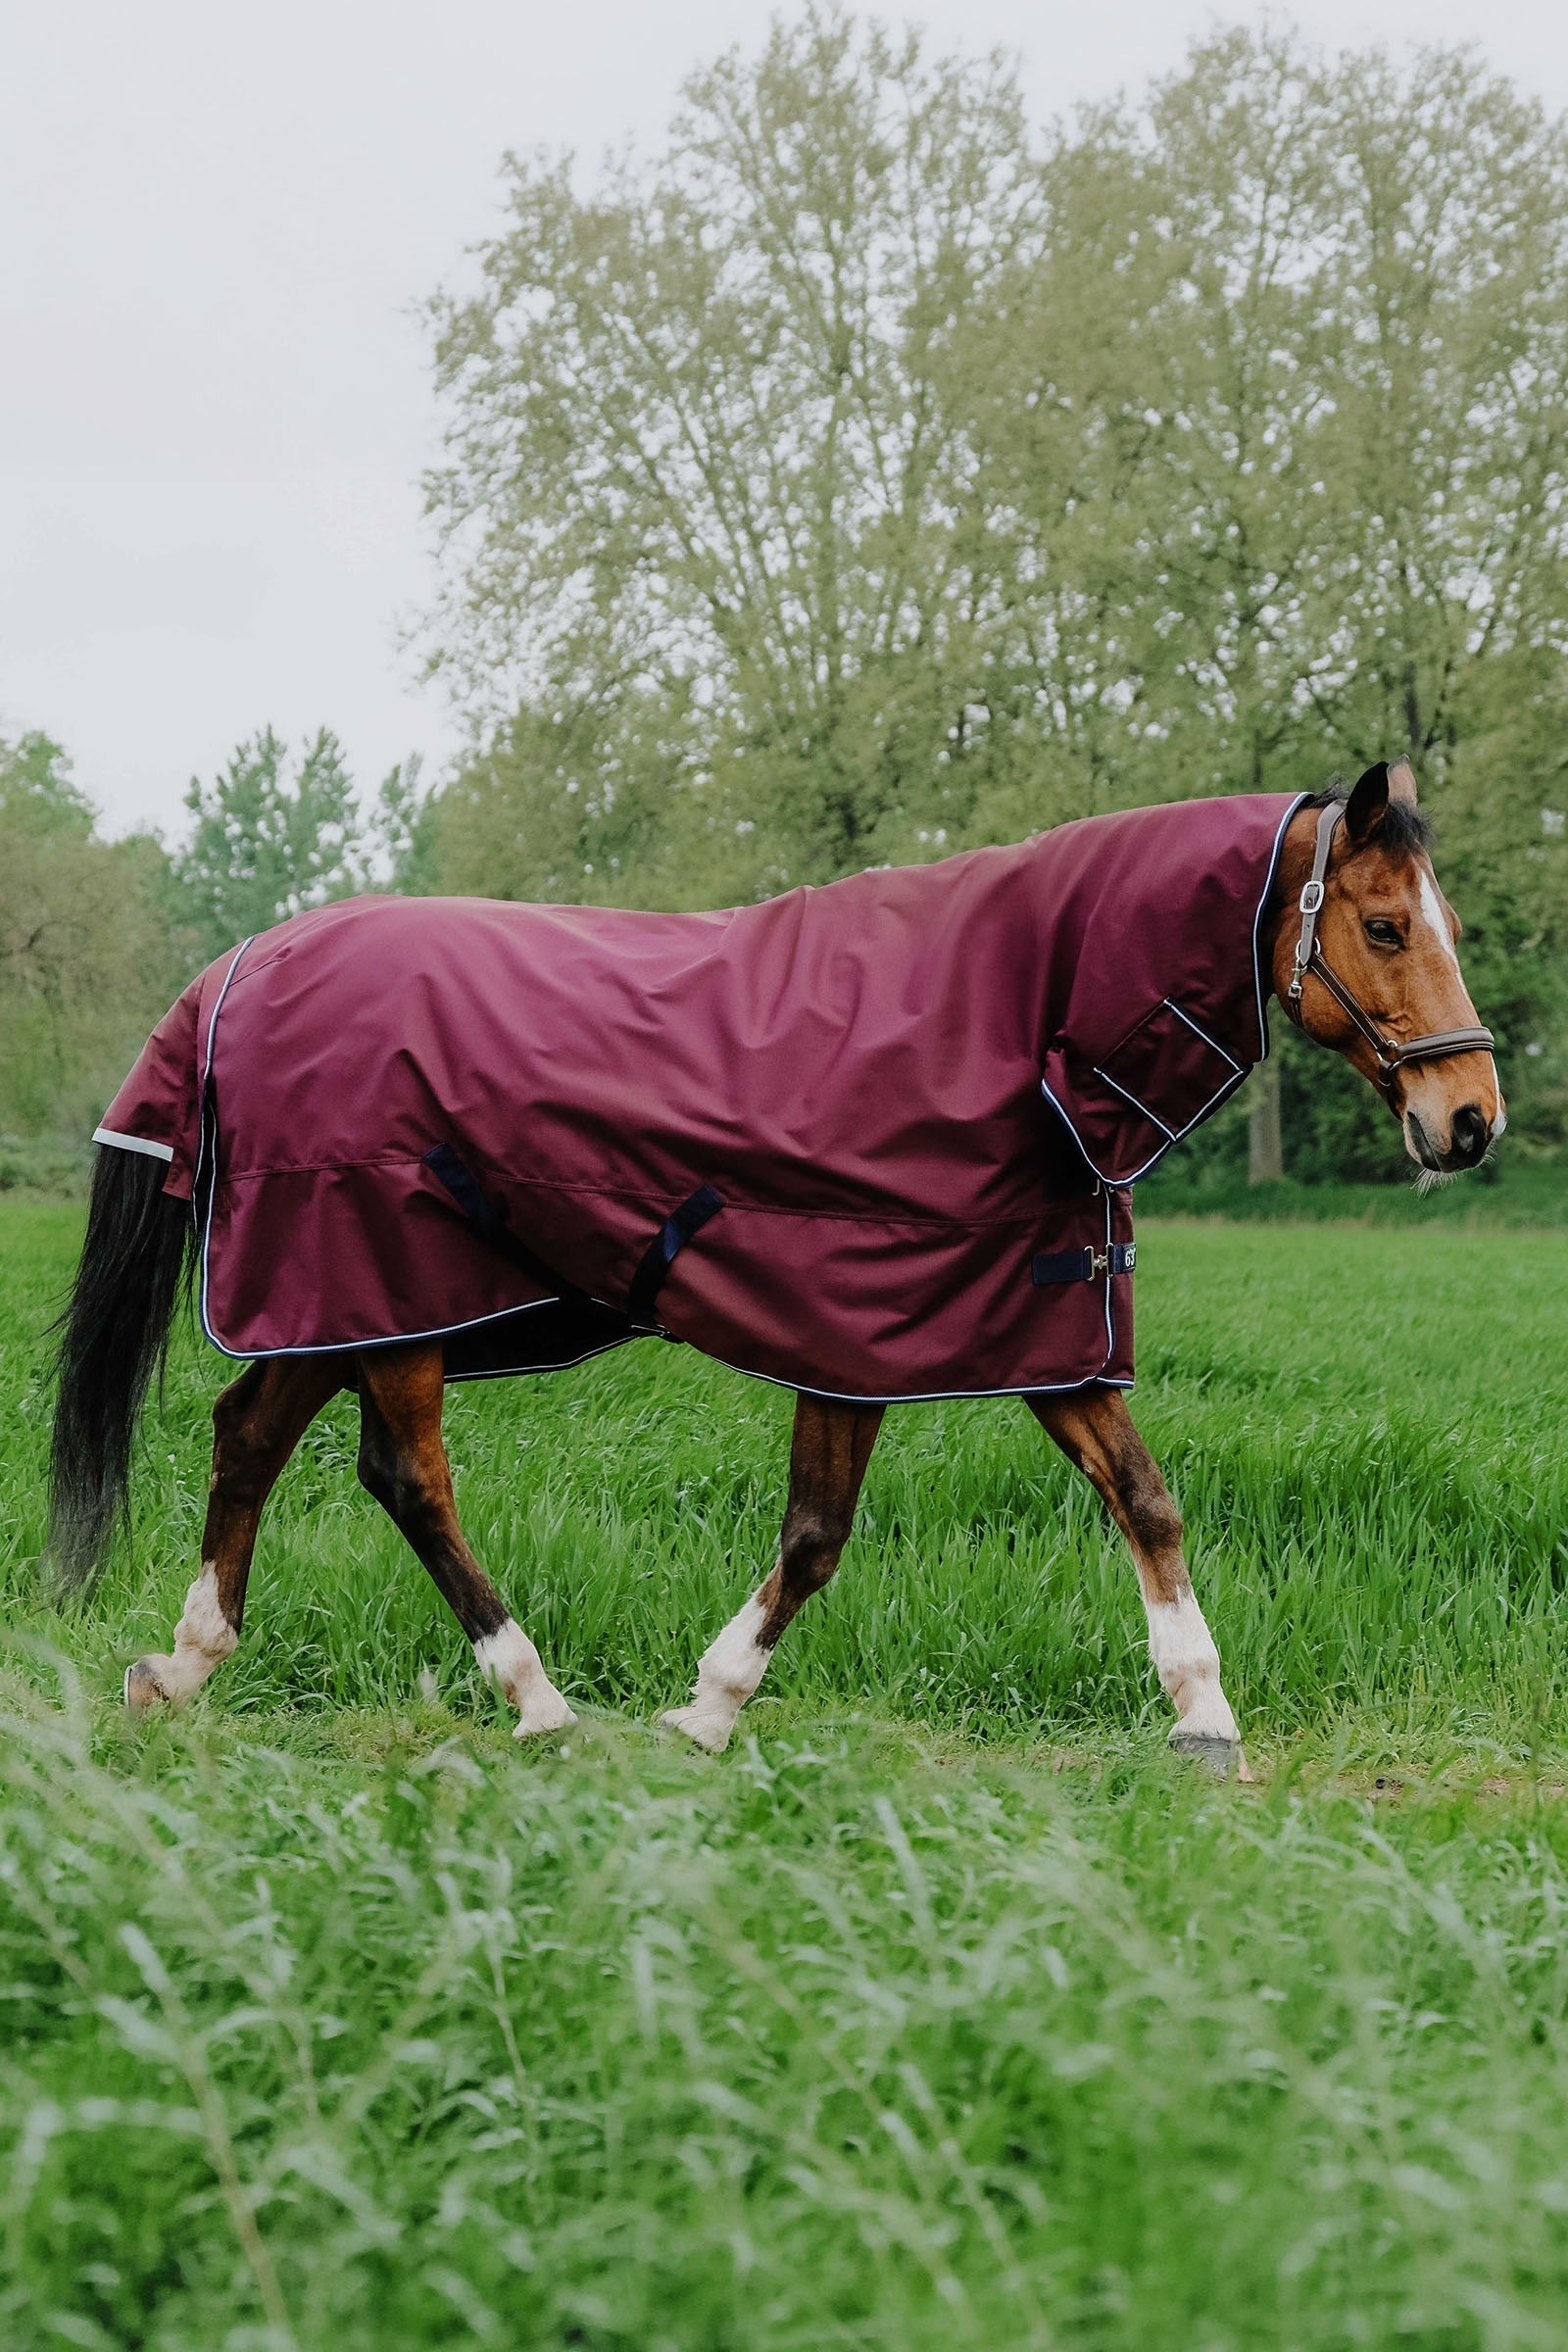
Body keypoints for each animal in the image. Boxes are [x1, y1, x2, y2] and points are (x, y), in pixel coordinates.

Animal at [48, 758, 1500, 1776]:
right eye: (1384, 928)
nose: (1471, 1120)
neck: (1006, 1017)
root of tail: (242, 964)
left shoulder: (1030, 1320)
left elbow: (1145, 1502)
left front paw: (1204, 1717)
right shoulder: (857, 1328)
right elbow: (815, 1539)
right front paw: (705, 1710)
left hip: (332, 1305)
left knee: (248, 1433)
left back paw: (184, 1666)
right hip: (387, 1292)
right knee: (406, 1478)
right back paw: (538, 1702)